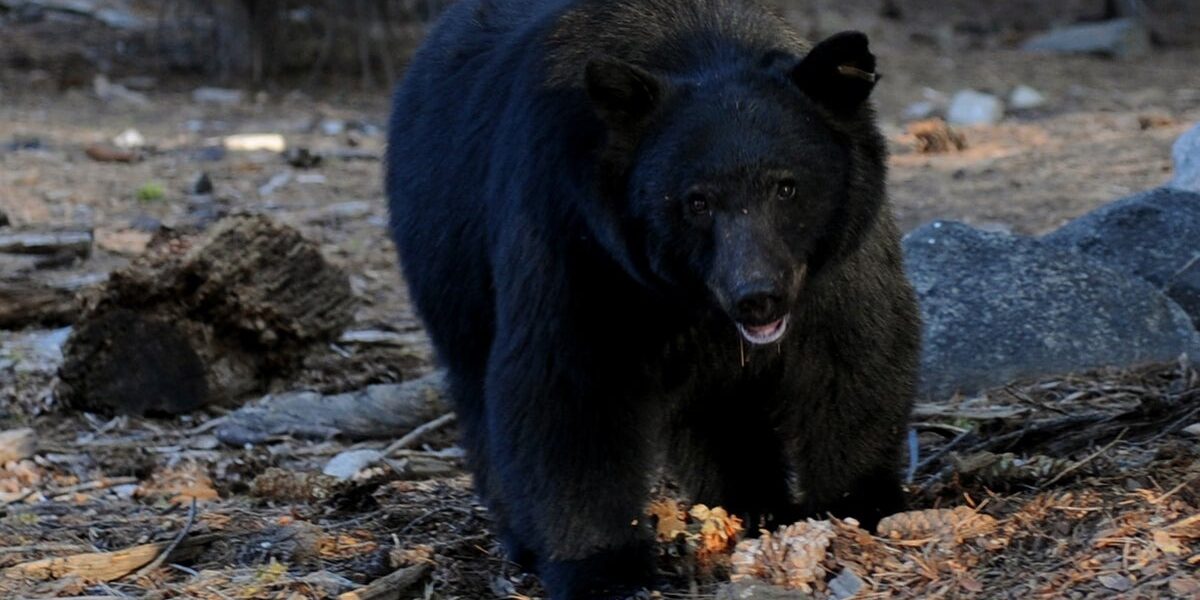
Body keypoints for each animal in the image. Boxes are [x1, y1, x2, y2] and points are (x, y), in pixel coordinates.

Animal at [385, 0, 921, 597]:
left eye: (787, 187)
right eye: (696, 201)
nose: (757, 297)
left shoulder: (837, 260)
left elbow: (853, 352)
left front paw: (858, 504)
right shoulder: (577, 237)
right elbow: (569, 385)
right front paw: (603, 567)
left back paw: (749, 505)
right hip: (447, 260)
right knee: (478, 390)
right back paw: (523, 538)